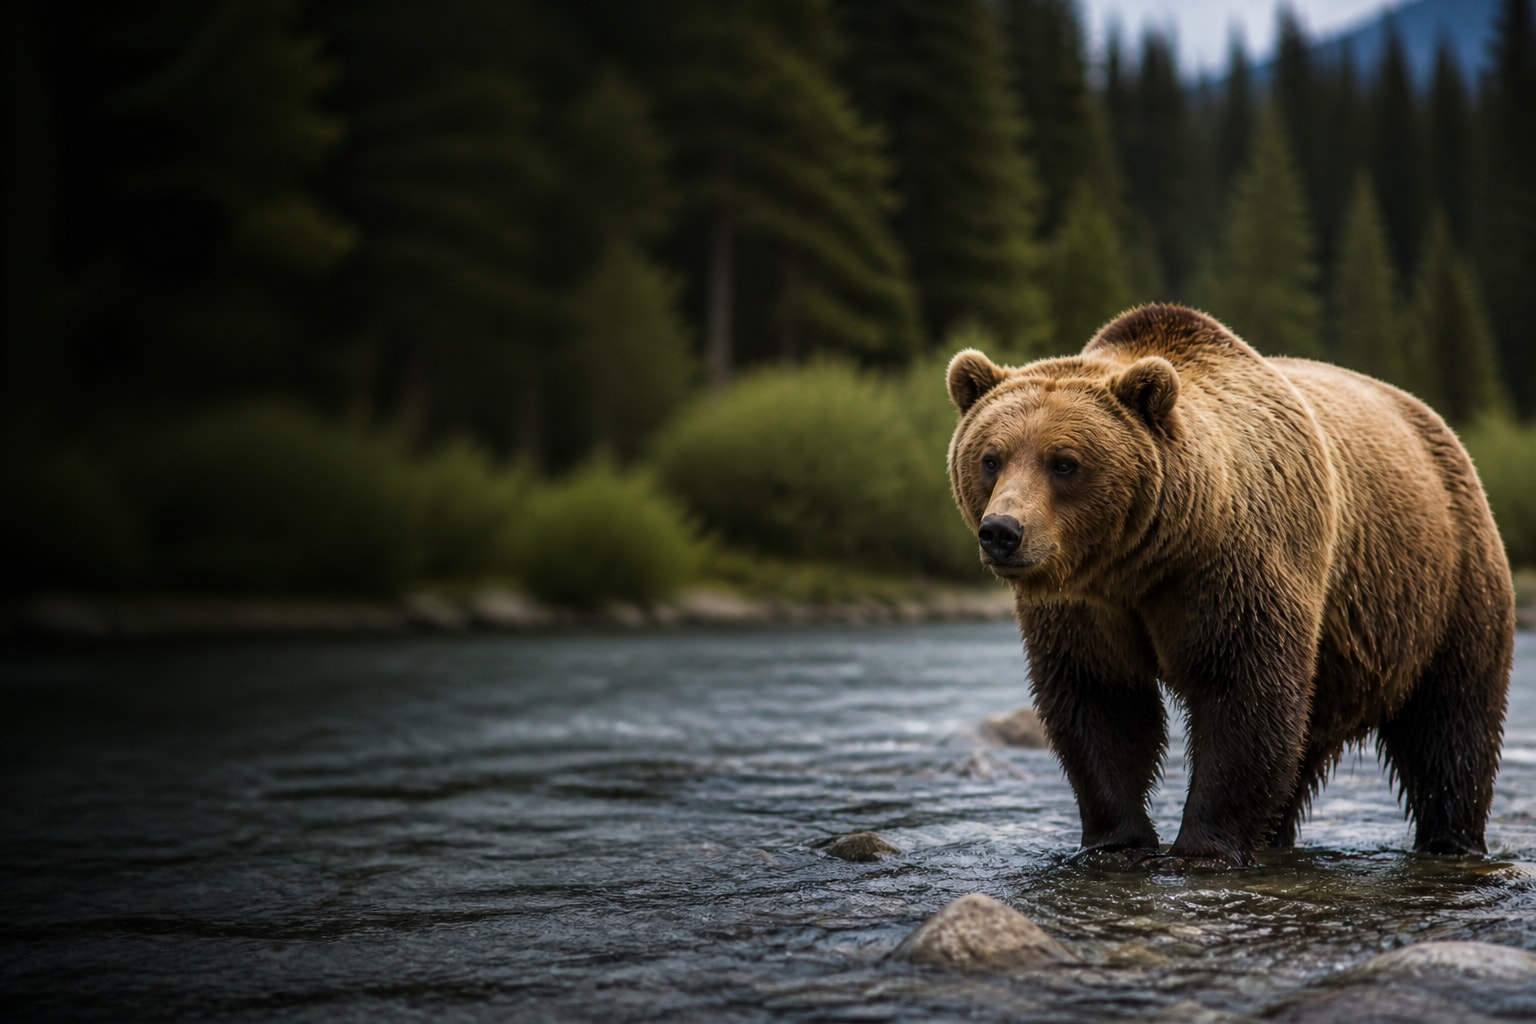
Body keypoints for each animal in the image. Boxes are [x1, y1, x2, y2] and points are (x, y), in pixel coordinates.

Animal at [946, 304, 1514, 868]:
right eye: (991, 458)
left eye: (1064, 462)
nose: (1002, 531)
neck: (1143, 563)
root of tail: (1431, 420)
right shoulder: (1086, 608)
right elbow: (1101, 702)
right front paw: (1116, 840)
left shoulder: (1234, 569)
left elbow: (1244, 693)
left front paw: (1202, 847)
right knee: (1304, 748)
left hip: (1443, 583)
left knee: (1451, 728)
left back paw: (1452, 840)